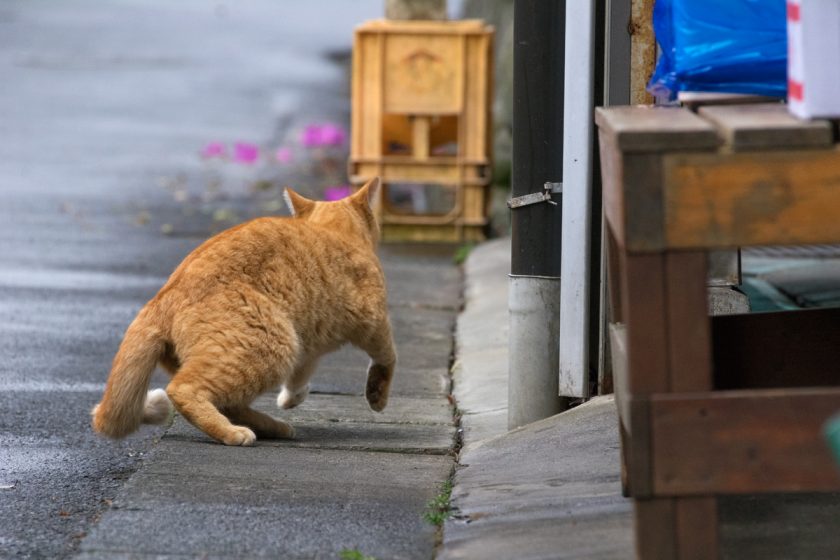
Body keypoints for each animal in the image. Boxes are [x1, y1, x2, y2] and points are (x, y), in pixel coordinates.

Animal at [90, 178, 398, 446]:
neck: (336, 232)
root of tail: (160, 299)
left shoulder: (308, 342)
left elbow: (300, 375)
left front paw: (291, 399)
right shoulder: (374, 321)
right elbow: (387, 357)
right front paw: (377, 396)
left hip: (279, 345)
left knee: (230, 403)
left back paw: (273, 426)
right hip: (274, 346)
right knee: (183, 390)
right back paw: (234, 433)